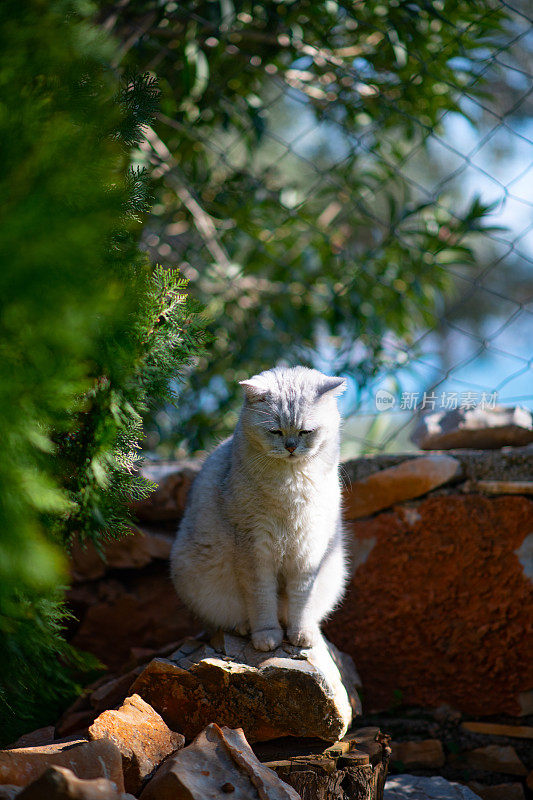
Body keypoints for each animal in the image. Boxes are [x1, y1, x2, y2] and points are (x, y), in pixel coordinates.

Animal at [168, 366, 348, 652]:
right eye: (275, 431)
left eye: (306, 431)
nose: (290, 447)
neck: (290, 485)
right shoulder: (254, 547)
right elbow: (261, 599)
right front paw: (267, 637)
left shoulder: (309, 550)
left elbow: (301, 599)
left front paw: (301, 633)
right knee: (227, 620)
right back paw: (244, 628)